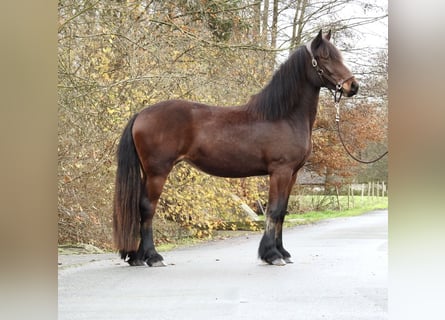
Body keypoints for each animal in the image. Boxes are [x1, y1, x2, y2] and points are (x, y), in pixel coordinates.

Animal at [113, 30, 358, 264]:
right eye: (325, 57)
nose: (352, 86)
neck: (284, 116)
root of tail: (141, 114)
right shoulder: (280, 171)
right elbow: (274, 210)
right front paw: (272, 255)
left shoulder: (293, 174)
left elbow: (282, 212)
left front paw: (282, 252)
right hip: (158, 172)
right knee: (147, 208)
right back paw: (153, 257)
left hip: (148, 172)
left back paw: (137, 258)